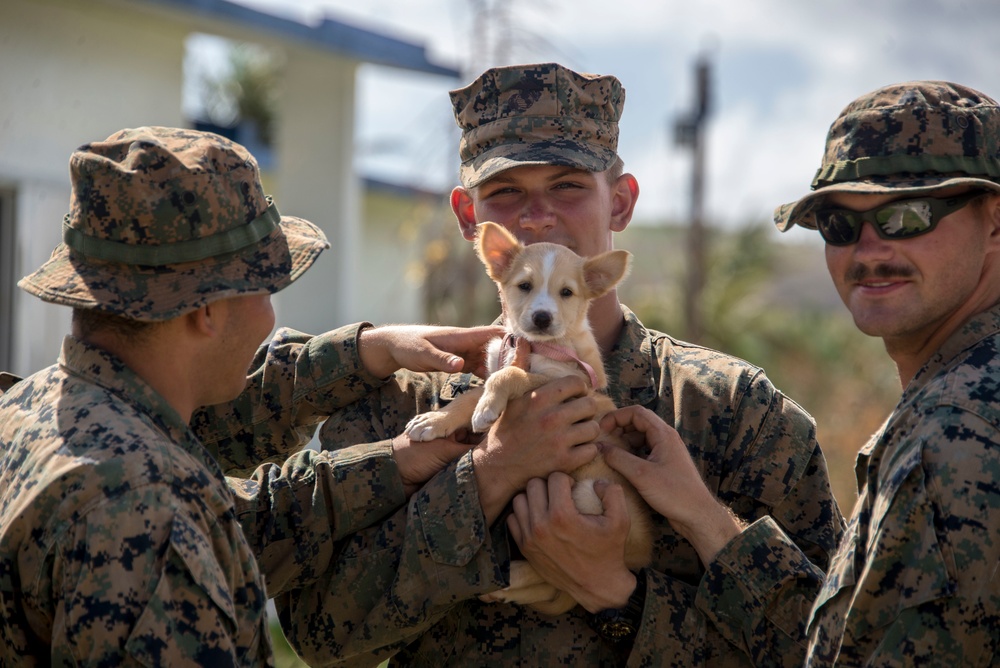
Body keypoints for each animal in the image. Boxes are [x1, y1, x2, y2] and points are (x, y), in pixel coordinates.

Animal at [402, 220, 652, 616]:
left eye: (566, 292)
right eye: (524, 286)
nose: (542, 317)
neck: (537, 346)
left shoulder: (565, 384)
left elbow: (511, 375)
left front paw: (487, 409)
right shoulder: (497, 370)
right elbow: (471, 395)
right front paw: (434, 422)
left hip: (588, 493)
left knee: (561, 576)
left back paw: (510, 575)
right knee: (556, 588)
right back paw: (502, 585)